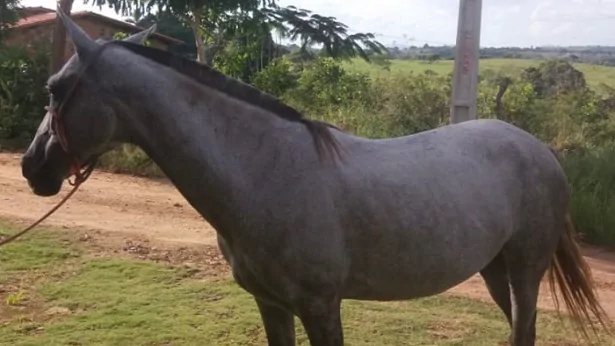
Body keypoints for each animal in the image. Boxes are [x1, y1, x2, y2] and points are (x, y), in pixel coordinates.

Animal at [20, 8, 612, 346]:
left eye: (55, 89)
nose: (32, 168)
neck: (262, 172)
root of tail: (538, 149)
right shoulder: (271, 305)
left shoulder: (321, 306)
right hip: (494, 269)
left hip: (525, 269)